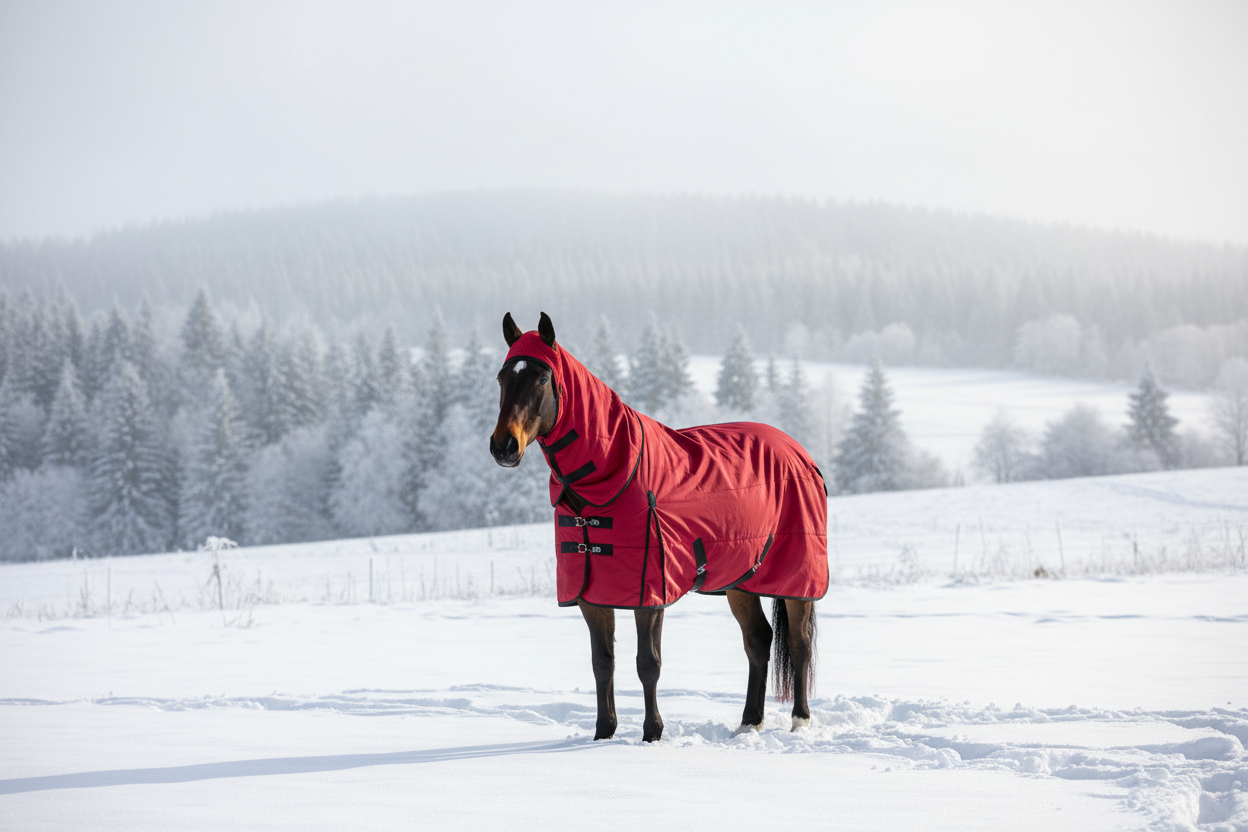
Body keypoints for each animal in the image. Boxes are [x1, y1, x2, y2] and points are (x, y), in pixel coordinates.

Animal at [489, 312, 828, 742]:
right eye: (502, 377)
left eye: (542, 379)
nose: (503, 446)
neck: (614, 472)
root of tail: (801, 454)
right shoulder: (591, 594)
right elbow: (603, 662)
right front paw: (603, 734)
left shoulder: (649, 591)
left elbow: (647, 663)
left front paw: (652, 734)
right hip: (741, 580)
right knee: (758, 640)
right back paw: (749, 723)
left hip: (797, 580)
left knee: (799, 643)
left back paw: (799, 722)